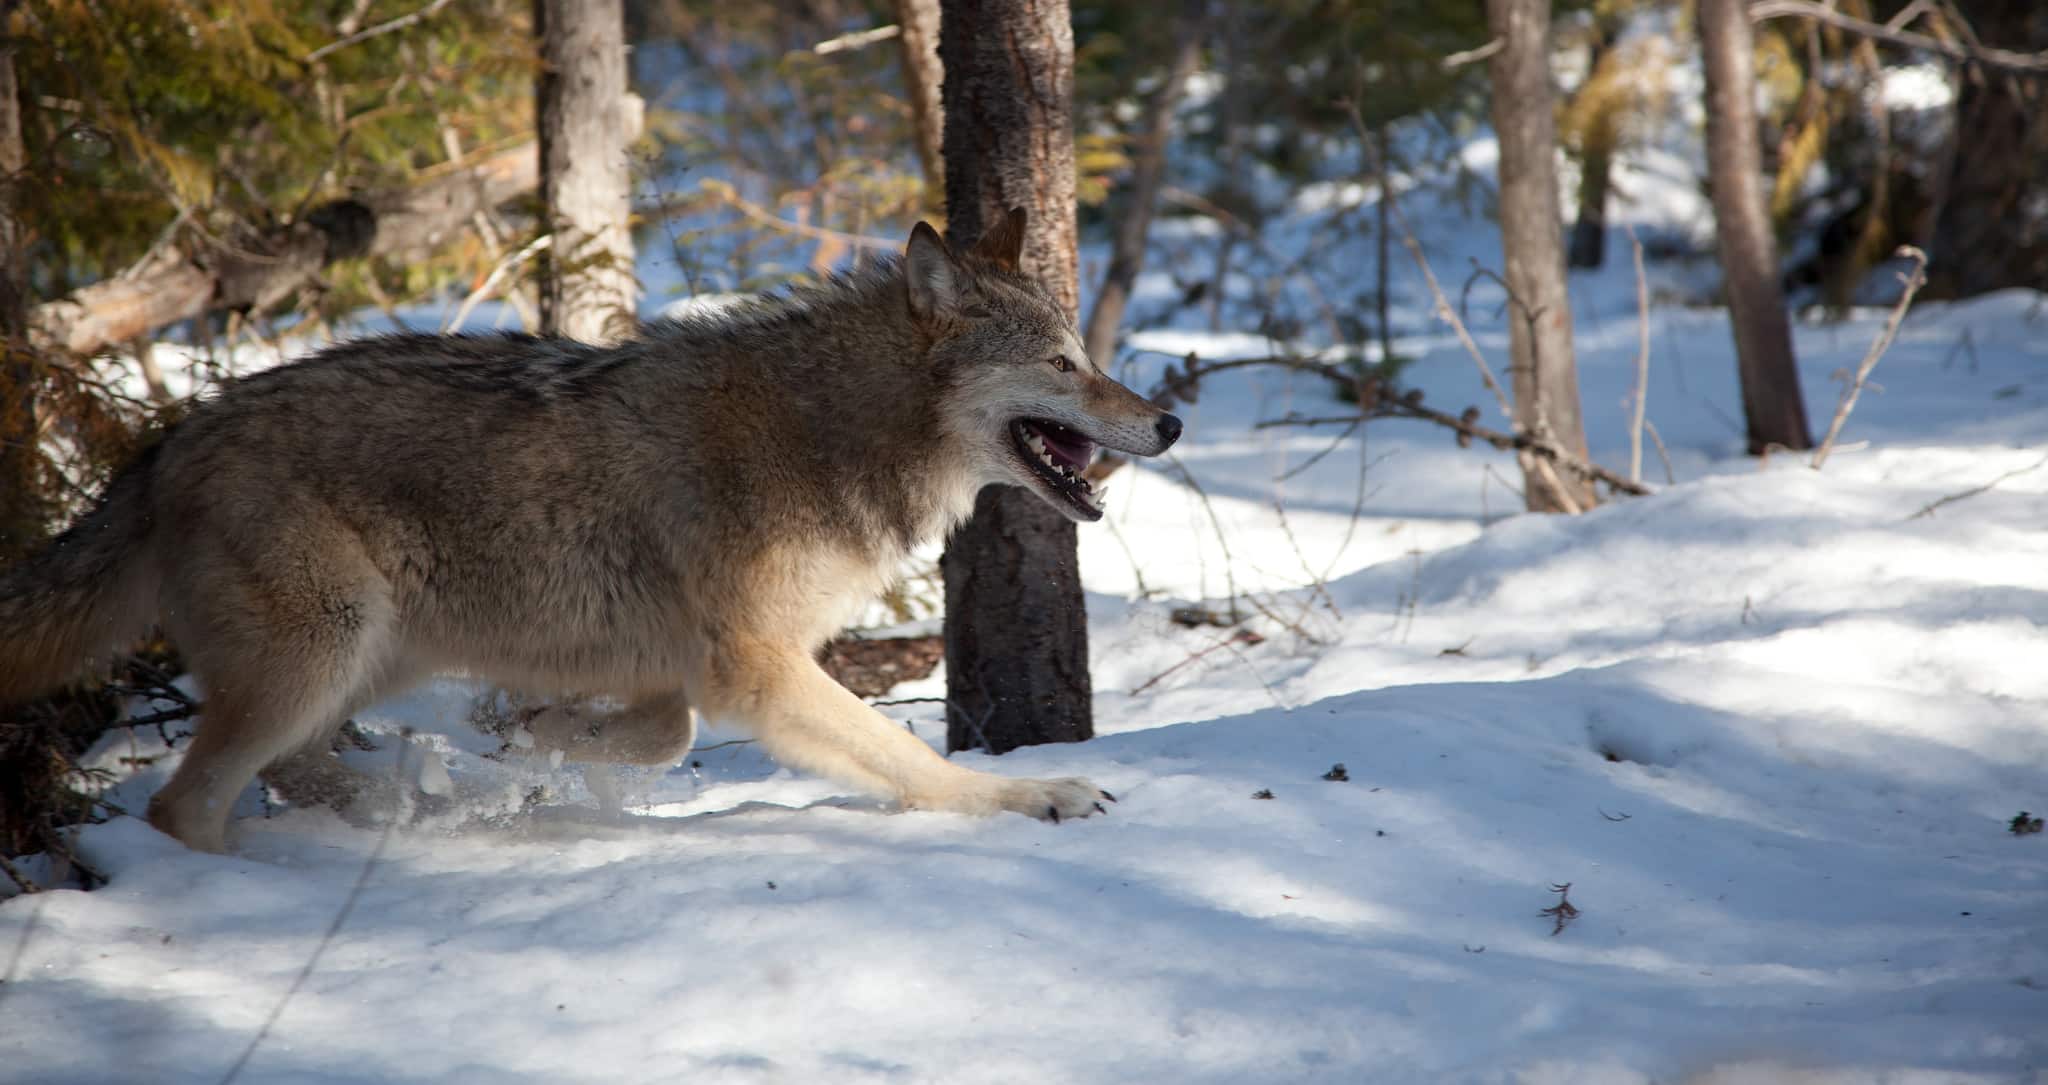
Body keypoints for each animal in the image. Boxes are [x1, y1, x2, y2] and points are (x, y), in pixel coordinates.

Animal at [0, 208, 1183, 853]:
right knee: (182, 804)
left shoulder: (680, 666)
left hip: (370, 653)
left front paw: (527, 741)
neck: (832, 430)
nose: (1169, 421)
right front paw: (1031, 793)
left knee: (284, 770)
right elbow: (909, 757)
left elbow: (660, 733)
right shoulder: (757, 667)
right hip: (324, 650)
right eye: (1062, 364)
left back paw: (395, 803)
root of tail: (163, 446)